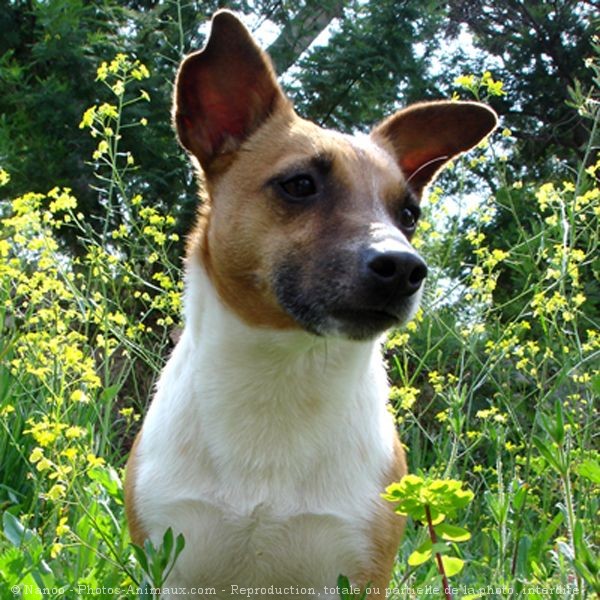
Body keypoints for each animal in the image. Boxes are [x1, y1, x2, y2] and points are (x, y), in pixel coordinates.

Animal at [123, 10, 496, 600]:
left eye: (408, 214)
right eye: (299, 184)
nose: (404, 267)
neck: (281, 376)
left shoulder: (357, 571)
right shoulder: (171, 566)